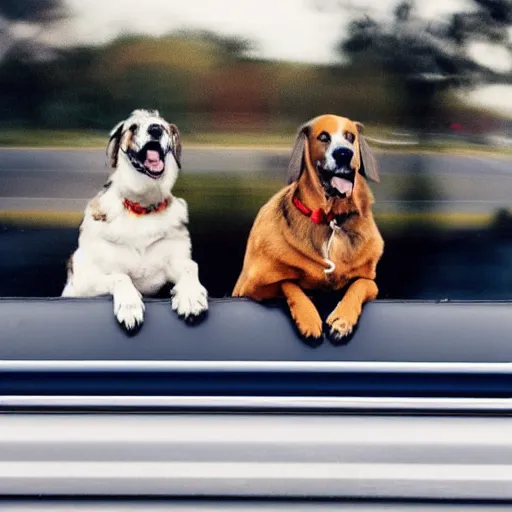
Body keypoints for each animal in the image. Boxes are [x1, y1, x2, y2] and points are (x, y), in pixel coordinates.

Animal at [62, 108, 208, 332]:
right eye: (133, 127)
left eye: (163, 126)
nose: (155, 129)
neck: (142, 207)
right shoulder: (84, 280)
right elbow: (121, 276)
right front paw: (130, 307)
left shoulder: (174, 260)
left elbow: (191, 267)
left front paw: (191, 296)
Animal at [234, 115, 382, 348]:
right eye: (323, 137)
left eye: (350, 136)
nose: (344, 153)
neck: (329, 219)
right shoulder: (253, 288)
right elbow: (289, 284)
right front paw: (309, 320)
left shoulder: (371, 283)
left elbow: (359, 285)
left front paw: (342, 321)